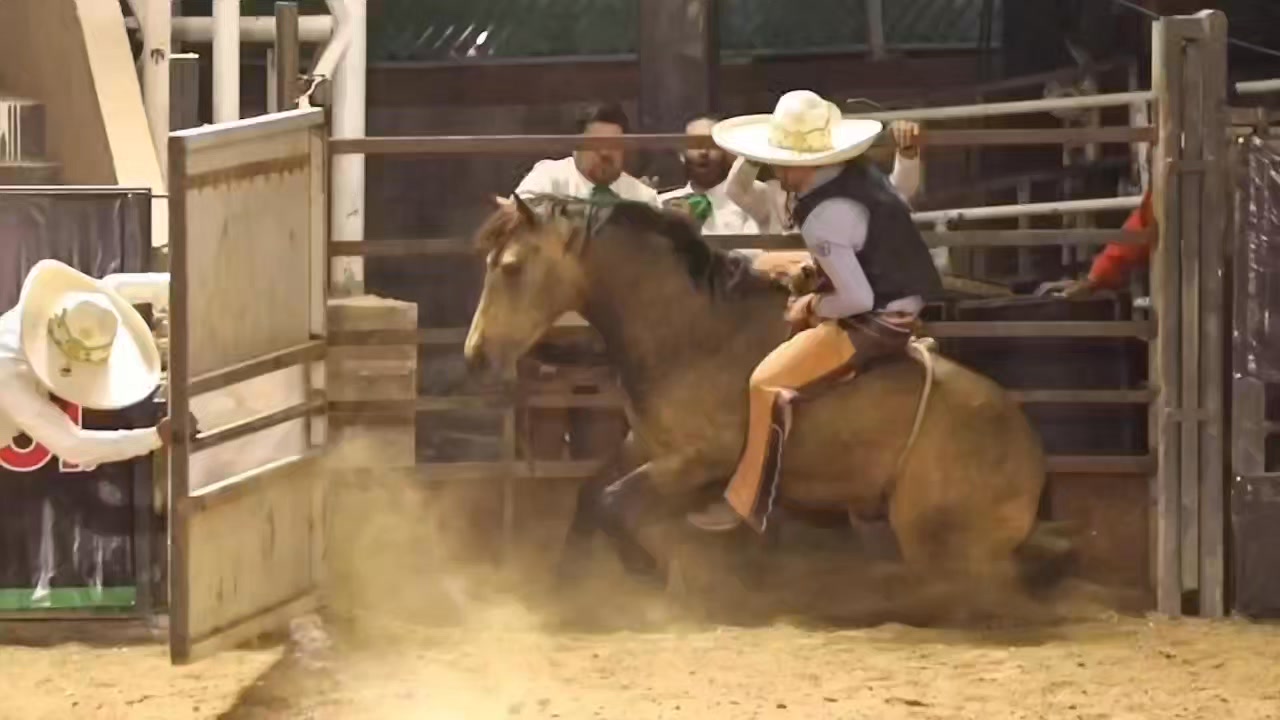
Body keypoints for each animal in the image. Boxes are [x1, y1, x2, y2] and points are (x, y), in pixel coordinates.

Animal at [463, 193, 1071, 605]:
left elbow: (613, 502)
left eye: (511, 267)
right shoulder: (648, 444)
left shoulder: (697, 460)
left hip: (933, 533)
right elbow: (590, 496)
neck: (692, 330)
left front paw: (646, 569)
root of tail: (1031, 451)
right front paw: (566, 587)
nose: (474, 355)